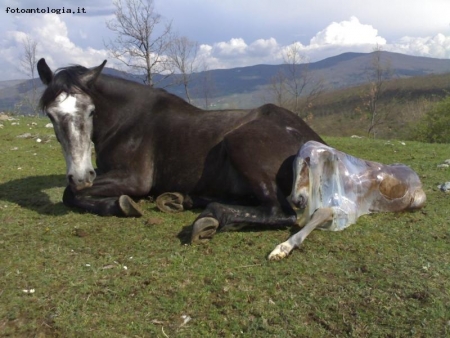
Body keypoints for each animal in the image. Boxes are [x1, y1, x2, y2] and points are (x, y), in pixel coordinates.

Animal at [35, 58, 324, 243]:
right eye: (51, 115)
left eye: (91, 111)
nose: (81, 176)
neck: (127, 120)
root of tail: (315, 142)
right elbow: (72, 191)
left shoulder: (134, 179)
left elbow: (69, 194)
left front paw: (121, 204)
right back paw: (182, 199)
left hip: (241, 145)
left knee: (279, 211)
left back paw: (211, 218)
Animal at [268, 141, 428, 260]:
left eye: (308, 166)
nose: (297, 200)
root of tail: (414, 174)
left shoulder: (351, 209)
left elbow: (319, 214)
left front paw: (282, 249)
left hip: (418, 200)